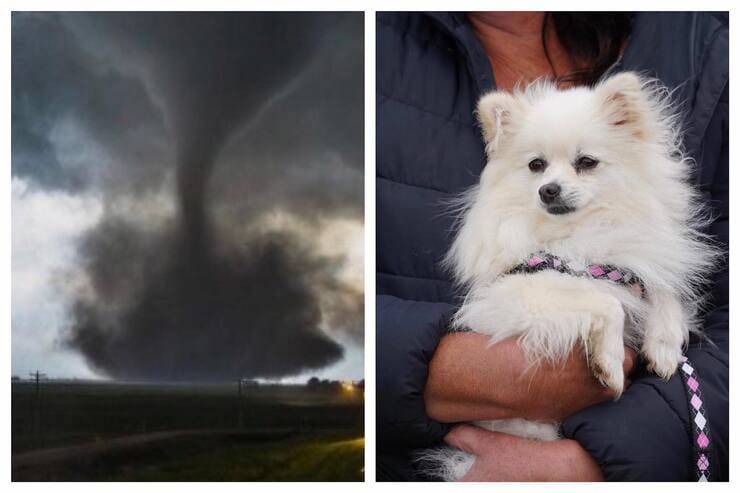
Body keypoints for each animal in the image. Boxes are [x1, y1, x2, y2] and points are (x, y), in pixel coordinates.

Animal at [424, 73, 720, 480]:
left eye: (586, 162)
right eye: (536, 165)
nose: (548, 189)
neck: (579, 233)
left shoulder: (631, 263)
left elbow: (662, 290)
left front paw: (664, 347)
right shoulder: (512, 299)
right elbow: (608, 302)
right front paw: (609, 362)